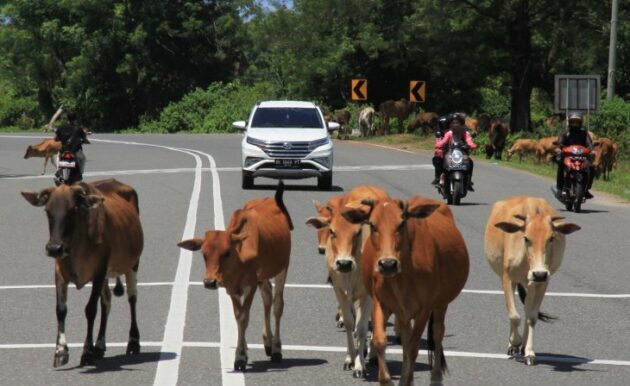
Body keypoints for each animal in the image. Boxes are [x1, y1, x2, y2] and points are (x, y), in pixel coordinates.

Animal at [21, 179, 144, 366]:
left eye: (73, 210)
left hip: (133, 264)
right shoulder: (59, 272)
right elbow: (61, 309)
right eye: (47, 211)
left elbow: (90, 309)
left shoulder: (99, 271)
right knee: (107, 302)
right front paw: (60, 352)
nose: (54, 248)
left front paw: (86, 352)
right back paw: (99, 345)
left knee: (132, 298)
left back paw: (133, 342)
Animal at [179, 182, 296, 372]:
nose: (210, 282)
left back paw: (277, 349)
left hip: (282, 268)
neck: (239, 257)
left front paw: (240, 356)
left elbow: (243, 317)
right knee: (267, 298)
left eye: (227, 253)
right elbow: (238, 316)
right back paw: (268, 342)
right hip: (263, 277)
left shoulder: (250, 286)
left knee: (278, 305)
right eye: (204, 254)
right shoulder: (231, 288)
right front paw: (244, 352)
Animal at [308, 185, 390, 378]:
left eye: (358, 232)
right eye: (332, 231)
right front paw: (350, 359)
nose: (344, 263)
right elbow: (349, 322)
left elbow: (361, 328)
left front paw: (360, 366)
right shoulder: (340, 291)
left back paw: (372, 354)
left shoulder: (367, 295)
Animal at [344, 198, 472, 384]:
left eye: (401, 223)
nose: (388, 264)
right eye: (373, 225)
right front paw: (387, 380)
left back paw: (435, 377)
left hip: (441, 303)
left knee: (437, 333)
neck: (402, 278)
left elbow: (413, 347)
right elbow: (380, 341)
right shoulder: (380, 302)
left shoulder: (425, 309)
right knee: (407, 338)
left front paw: (405, 380)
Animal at [486, 196, 584, 364]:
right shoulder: (507, 278)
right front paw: (514, 342)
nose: (539, 273)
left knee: (527, 309)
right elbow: (514, 315)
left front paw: (529, 352)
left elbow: (531, 317)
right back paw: (513, 345)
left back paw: (524, 346)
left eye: (551, 238)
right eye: (526, 238)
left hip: (532, 284)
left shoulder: (542, 283)